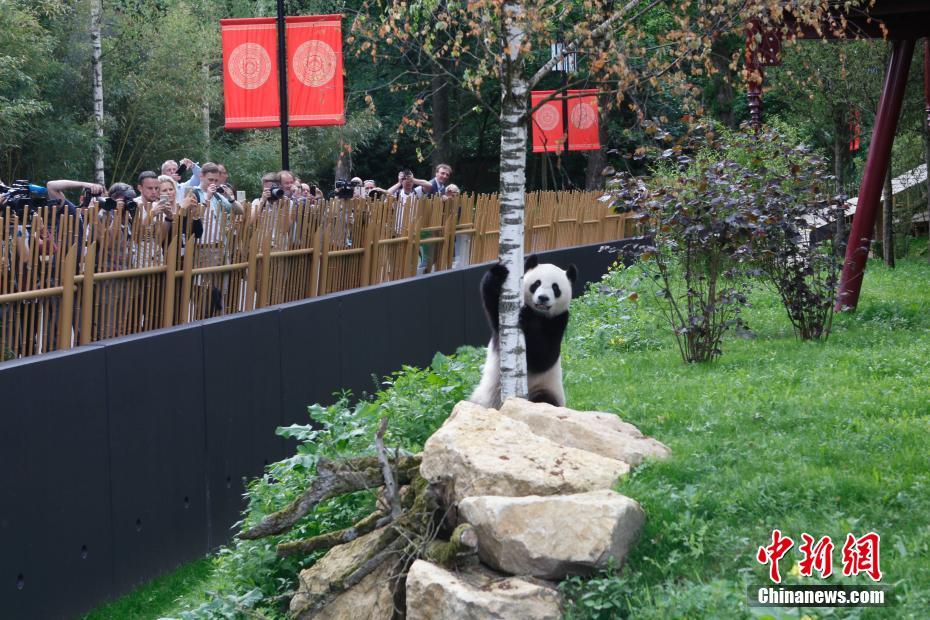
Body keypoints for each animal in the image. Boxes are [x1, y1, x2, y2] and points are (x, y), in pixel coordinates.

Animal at [469, 254, 577, 409]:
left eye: (555, 287)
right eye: (536, 284)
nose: (543, 298)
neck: (539, 314)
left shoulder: (559, 320)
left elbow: (544, 357)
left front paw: (528, 319)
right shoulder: (499, 325)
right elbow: (494, 308)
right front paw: (497, 274)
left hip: (545, 388)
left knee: (544, 400)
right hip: (481, 397)